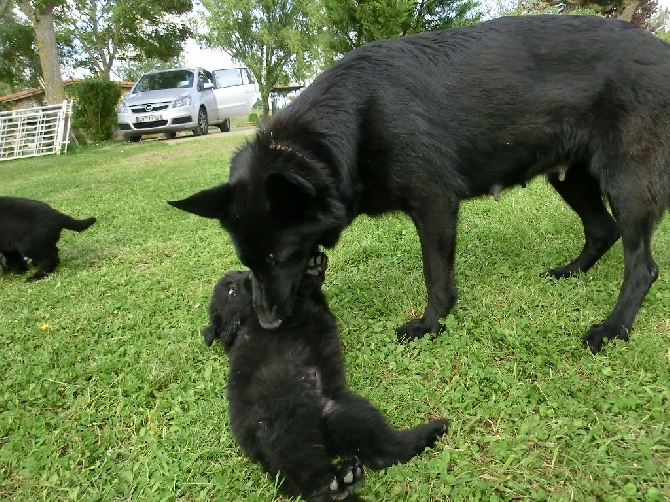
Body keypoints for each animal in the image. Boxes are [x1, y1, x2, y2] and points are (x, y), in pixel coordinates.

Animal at [169, 15, 670, 352]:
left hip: (627, 183)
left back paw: (613, 327)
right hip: (571, 178)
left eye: (280, 257)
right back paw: (571, 272)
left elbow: (436, 276)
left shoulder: (434, 205)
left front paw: (431, 324)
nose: (269, 324)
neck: (347, 125)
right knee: (602, 230)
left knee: (642, 265)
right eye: (248, 263)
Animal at [202, 255, 448, 502]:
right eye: (231, 290)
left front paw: (314, 266)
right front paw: (310, 270)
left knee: (381, 451)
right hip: (287, 422)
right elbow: (299, 297)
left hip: (346, 412)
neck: (246, 321)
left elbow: (312, 293)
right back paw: (335, 483)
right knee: (306, 471)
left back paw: (429, 432)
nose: (252, 275)